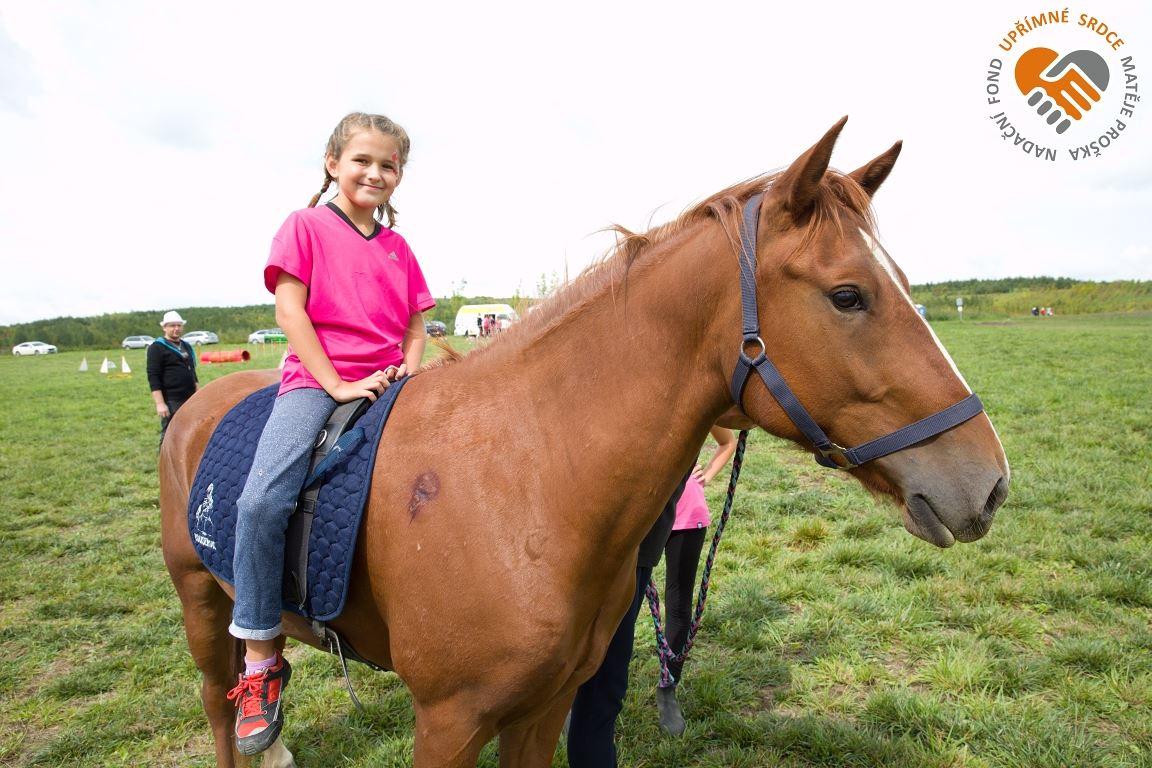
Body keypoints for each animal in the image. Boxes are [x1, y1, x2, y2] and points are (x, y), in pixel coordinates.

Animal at [160, 117, 1010, 767]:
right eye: (848, 295)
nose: (990, 483)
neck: (525, 480)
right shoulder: (448, 721)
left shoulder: (544, 708)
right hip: (202, 598)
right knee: (219, 702)